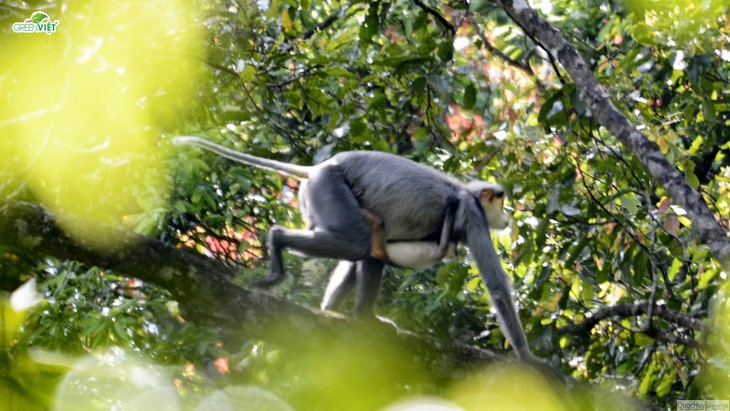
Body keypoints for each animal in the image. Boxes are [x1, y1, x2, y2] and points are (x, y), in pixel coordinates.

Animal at [171, 137, 536, 362]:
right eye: (501, 201)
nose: (508, 215)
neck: (464, 194)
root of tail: (318, 167)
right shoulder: (473, 215)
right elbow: (496, 285)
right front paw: (529, 359)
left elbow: (372, 255)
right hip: (328, 186)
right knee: (360, 243)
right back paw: (280, 242)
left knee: (365, 246)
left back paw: (336, 312)